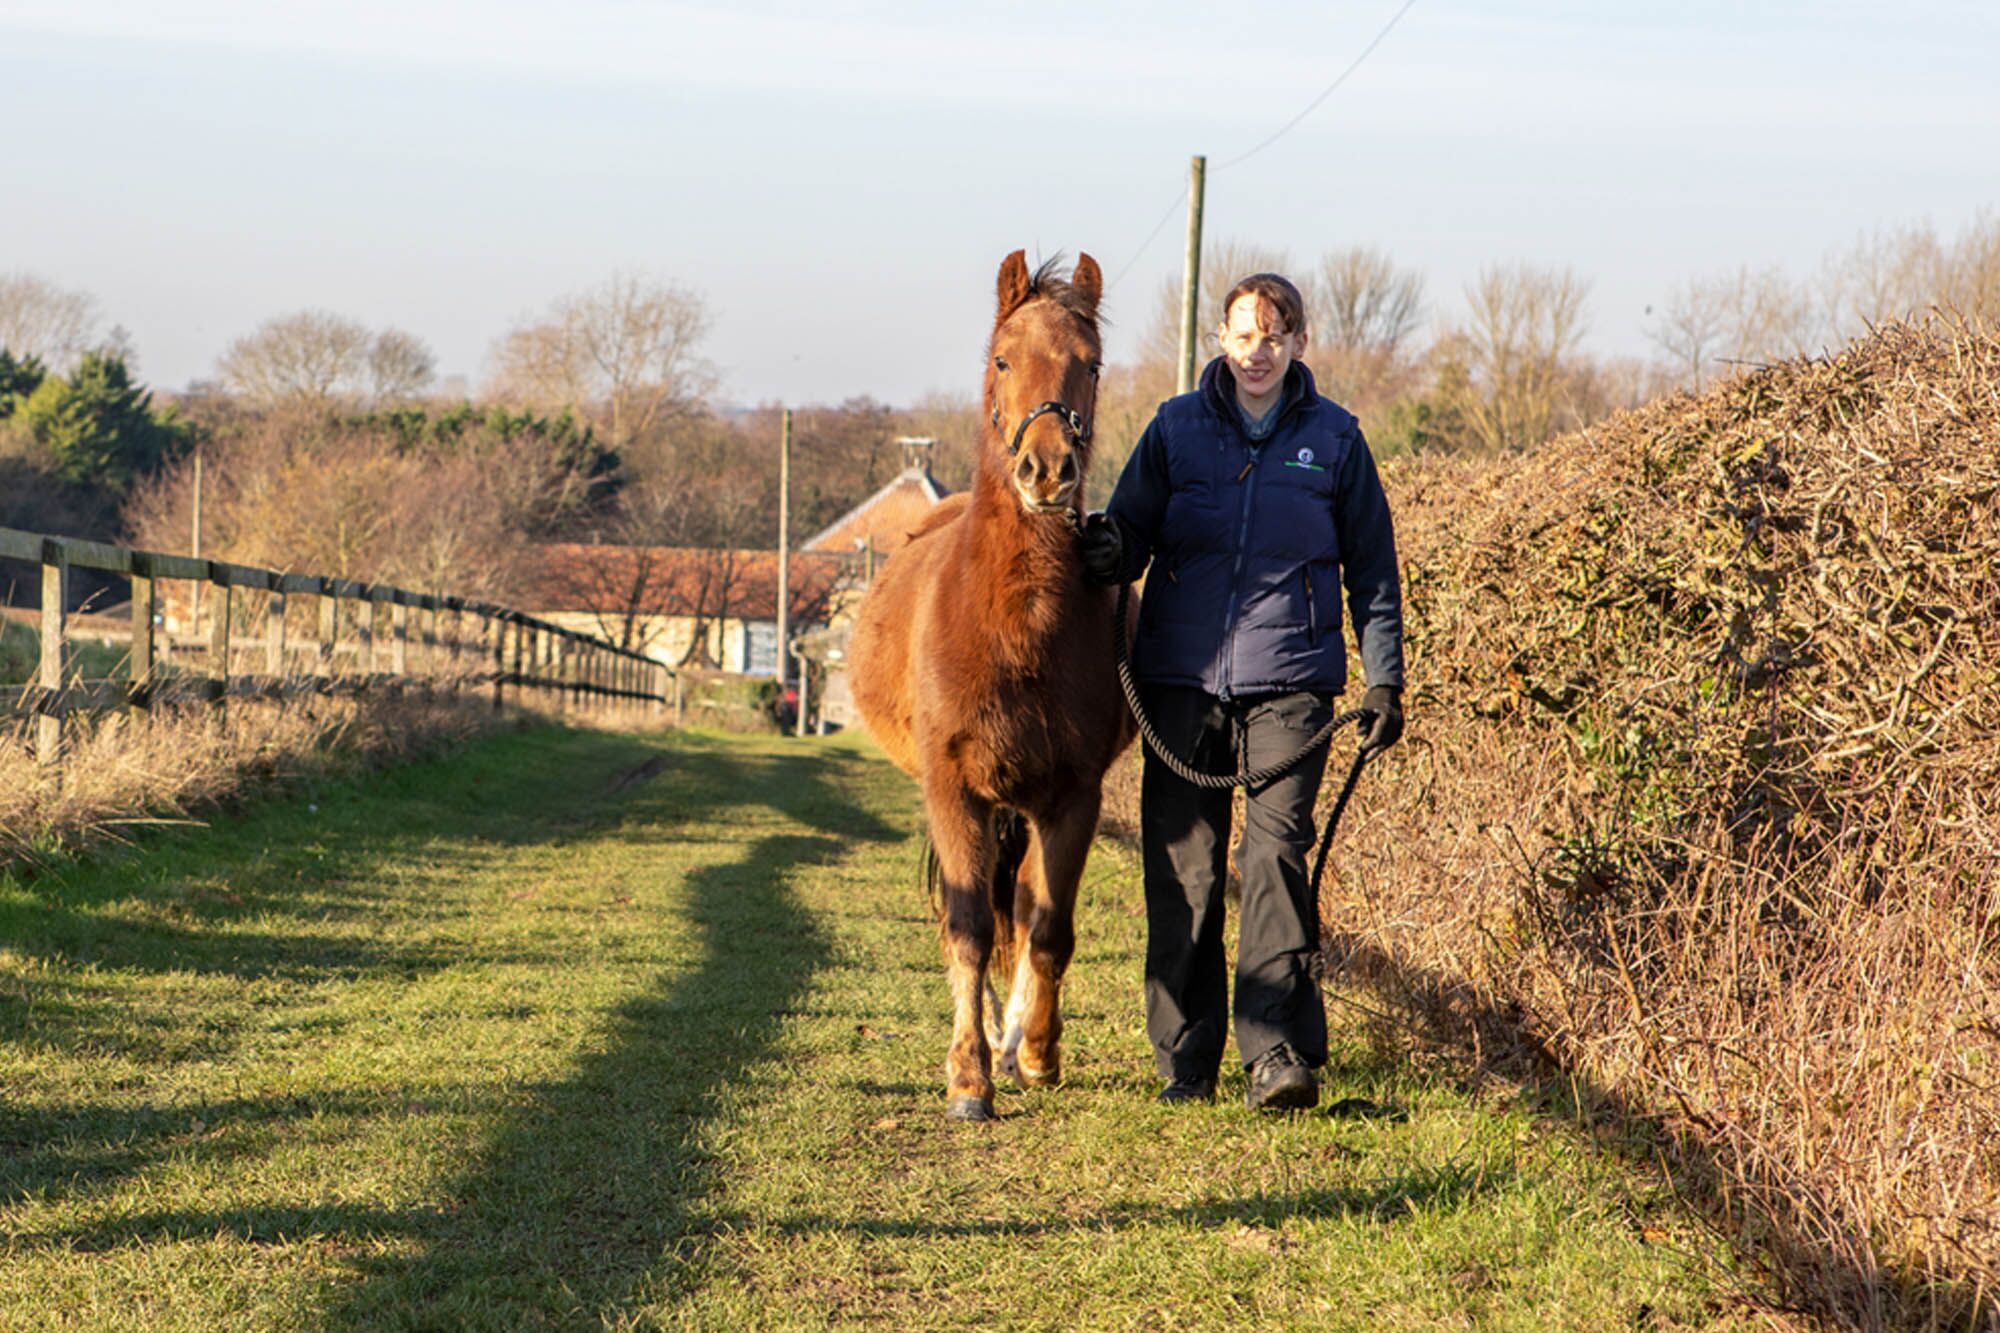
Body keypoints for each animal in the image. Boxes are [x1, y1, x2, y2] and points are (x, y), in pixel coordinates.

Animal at [848, 250, 1136, 1122]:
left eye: (1091, 364)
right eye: (1004, 359)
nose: (1047, 469)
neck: (1013, 628)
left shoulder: (1072, 797)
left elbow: (1048, 924)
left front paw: (1034, 1053)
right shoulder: (954, 791)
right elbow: (970, 926)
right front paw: (968, 1077)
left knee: (1028, 907)